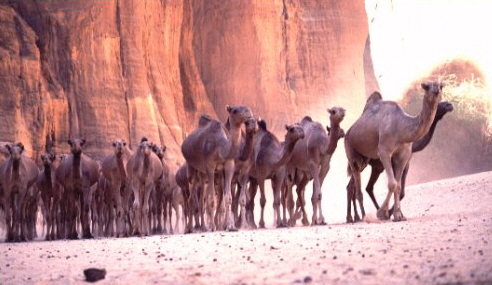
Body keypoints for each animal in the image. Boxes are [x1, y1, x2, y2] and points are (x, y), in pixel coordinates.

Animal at [344, 81, 444, 221]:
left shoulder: (403, 156)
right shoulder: (384, 151)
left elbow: (398, 186)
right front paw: (382, 213)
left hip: (365, 159)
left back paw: (355, 217)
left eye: (441, 86)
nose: (436, 91)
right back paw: (363, 217)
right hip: (350, 148)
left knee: (354, 183)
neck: (402, 129)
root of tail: (349, 130)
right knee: (357, 185)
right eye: (426, 86)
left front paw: (398, 215)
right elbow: (392, 184)